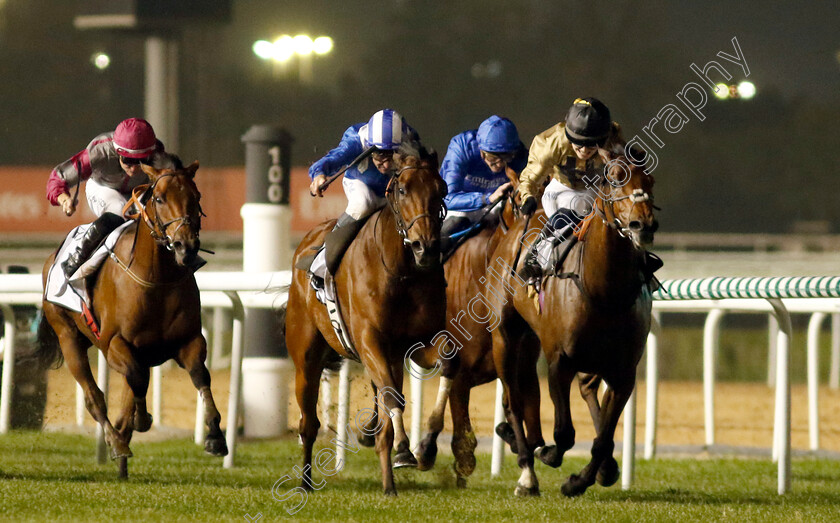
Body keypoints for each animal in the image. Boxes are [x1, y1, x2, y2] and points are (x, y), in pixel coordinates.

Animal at [36, 163, 226, 478]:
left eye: (196, 196)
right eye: (159, 198)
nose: (186, 246)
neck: (157, 279)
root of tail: (52, 256)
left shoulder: (189, 341)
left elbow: (200, 375)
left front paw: (215, 436)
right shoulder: (114, 344)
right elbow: (136, 379)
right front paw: (140, 420)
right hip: (68, 337)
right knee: (94, 397)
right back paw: (117, 443)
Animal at [282, 145, 450, 498]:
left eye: (441, 190)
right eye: (402, 190)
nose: (426, 248)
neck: (401, 271)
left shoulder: (419, 342)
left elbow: (445, 362)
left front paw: (424, 447)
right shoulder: (370, 339)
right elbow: (391, 396)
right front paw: (404, 449)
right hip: (306, 356)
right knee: (309, 423)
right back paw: (305, 481)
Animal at [488, 145, 660, 498]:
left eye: (650, 179)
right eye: (614, 178)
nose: (643, 225)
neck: (604, 291)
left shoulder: (624, 372)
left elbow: (604, 437)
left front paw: (580, 480)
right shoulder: (559, 361)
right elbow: (564, 432)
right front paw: (548, 454)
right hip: (505, 338)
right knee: (513, 401)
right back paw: (526, 471)